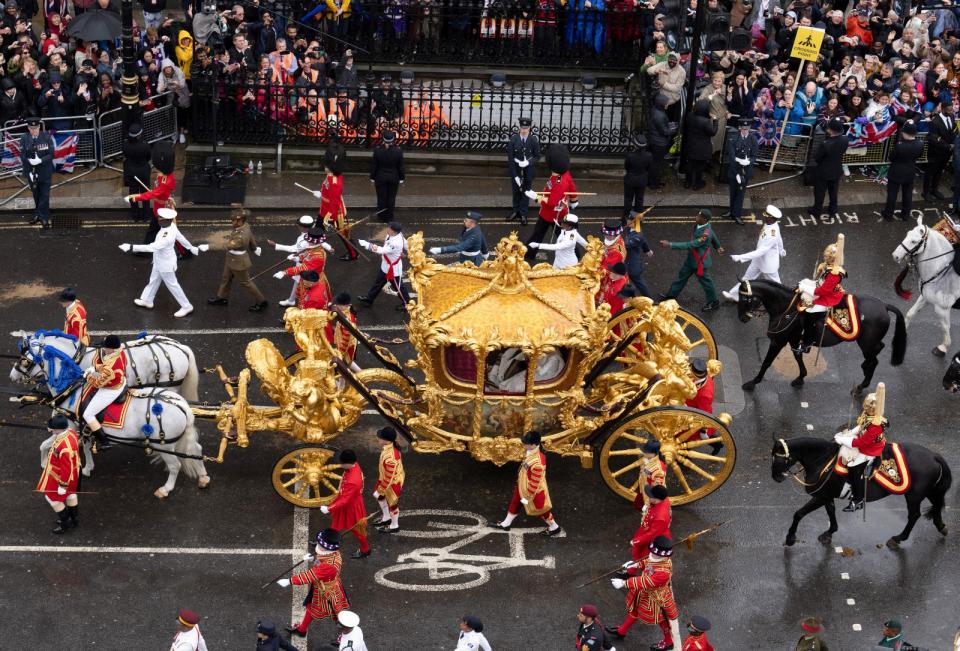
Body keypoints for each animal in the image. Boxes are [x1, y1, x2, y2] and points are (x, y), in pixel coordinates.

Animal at [736, 278, 908, 394]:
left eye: (744, 298)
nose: (742, 318)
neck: (787, 308)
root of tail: (884, 305)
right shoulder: (793, 339)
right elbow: (797, 357)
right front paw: (801, 377)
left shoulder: (778, 341)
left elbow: (766, 362)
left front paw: (752, 383)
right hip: (868, 343)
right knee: (878, 350)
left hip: (865, 343)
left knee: (874, 361)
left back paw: (861, 385)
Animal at [768, 438, 948, 552]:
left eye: (777, 458)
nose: (775, 477)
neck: (823, 460)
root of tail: (933, 455)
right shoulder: (826, 496)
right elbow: (831, 512)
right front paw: (829, 532)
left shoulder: (820, 497)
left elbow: (799, 514)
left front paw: (790, 537)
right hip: (929, 491)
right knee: (937, 505)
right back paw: (941, 527)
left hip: (913, 496)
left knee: (914, 515)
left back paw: (898, 538)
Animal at [888, 216, 960, 356]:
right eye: (907, 234)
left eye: (914, 241)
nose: (895, 255)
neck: (940, 272)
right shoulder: (925, 297)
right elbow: (910, 313)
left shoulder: (942, 309)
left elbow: (945, 327)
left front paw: (943, 347)